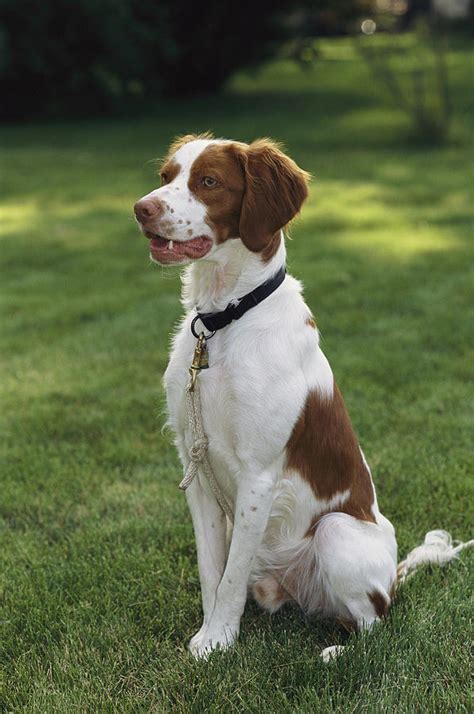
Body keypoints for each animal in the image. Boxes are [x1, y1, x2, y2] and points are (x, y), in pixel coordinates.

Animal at [134, 132, 474, 656]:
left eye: (208, 181)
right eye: (166, 177)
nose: (141, 209)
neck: (224, 322)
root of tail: (393, 580)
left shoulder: (257, 475)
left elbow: (229, 579)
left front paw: (220, 643)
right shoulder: (196, 466)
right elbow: (213, 572)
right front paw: (208, 637)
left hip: (336, 532)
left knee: (374, 622)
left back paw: (338, 652)